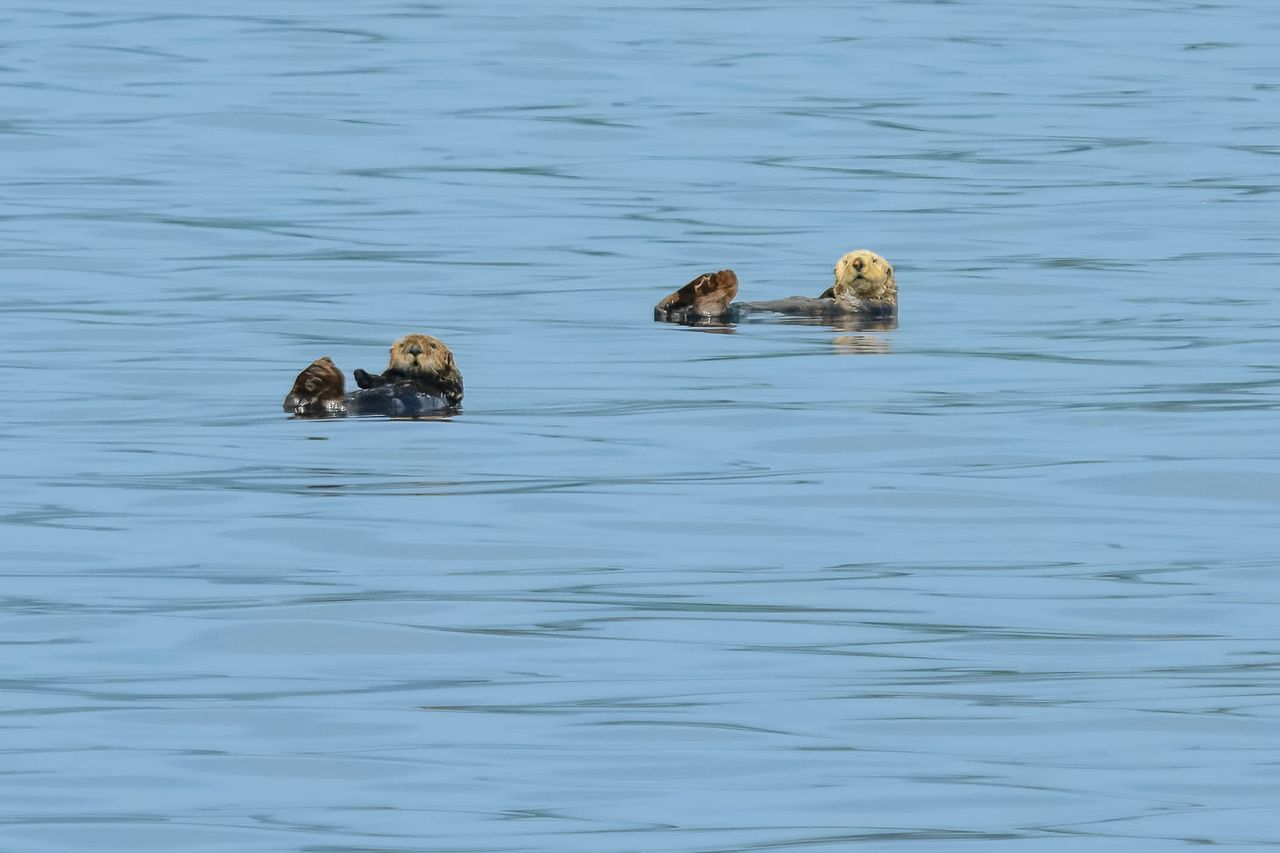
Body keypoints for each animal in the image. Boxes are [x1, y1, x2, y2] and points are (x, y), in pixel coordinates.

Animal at [283, 334, 463, 417]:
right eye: (402, 345)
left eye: (433, 346)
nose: (415, 350)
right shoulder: (387, 378)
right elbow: (378, 380)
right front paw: (360, 374)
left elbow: (454, 388)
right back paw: (315, 374)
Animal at [654, 250, 897, 325]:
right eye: (846, 261)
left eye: (874, 260)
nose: (857, 263)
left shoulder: (876, 307)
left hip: (715, 310)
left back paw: (715, 282)